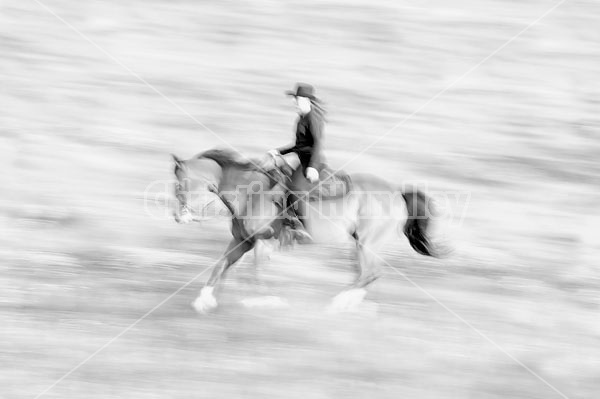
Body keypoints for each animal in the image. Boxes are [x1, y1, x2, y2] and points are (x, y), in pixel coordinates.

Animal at [171, 148, 438, 314]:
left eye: (179, 185)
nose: (178, 217)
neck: (251, 193)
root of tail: (398, 193)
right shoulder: (242, 241)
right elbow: (221, 266)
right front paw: (204, 301)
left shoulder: (263, 243)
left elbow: (253, 274)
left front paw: (265, 301)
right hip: (359, 243)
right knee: (365, 273)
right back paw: (349, 304)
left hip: (367, 243)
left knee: (370, 272)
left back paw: (337, 305)